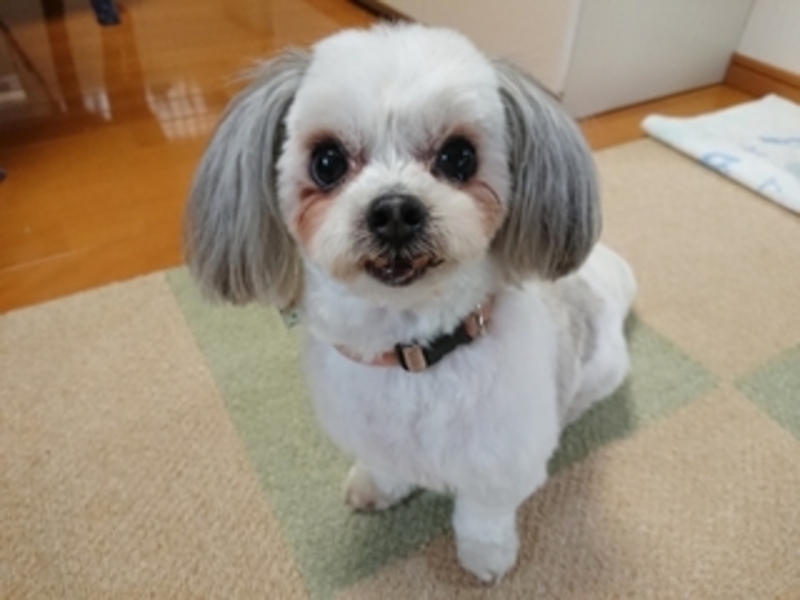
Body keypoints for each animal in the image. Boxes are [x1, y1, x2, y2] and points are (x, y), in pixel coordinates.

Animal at [185, 23, 636, 583]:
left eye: (459, 157)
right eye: (327, 161)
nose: (396, 210)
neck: (411, 355)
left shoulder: (498, 463)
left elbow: (482, 516)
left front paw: (486, 559)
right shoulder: (371, 432)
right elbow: (385, 466)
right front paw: (378, 488)